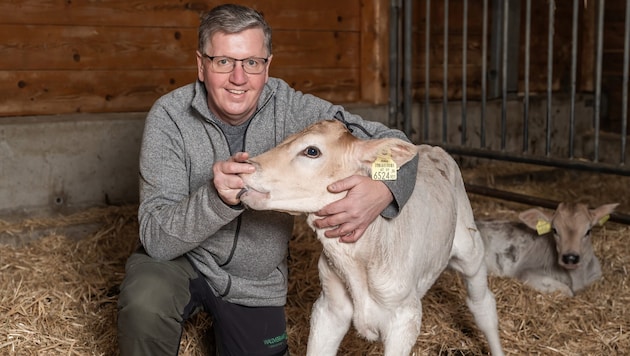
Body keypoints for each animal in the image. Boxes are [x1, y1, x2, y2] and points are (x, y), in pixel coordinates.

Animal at [239, 119, 506, 356]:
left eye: (311, 151)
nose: (246, 168)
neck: (359, 259)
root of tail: (430, 148)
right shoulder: (328, 309)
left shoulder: (405, 319)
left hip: (470, 247)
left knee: (482, 306)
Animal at [478, 202, 616, 296]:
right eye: (554, 230)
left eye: (588, 231)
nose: (570, 257)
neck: (577, 278)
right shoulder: (526, 271)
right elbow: (567, 291)